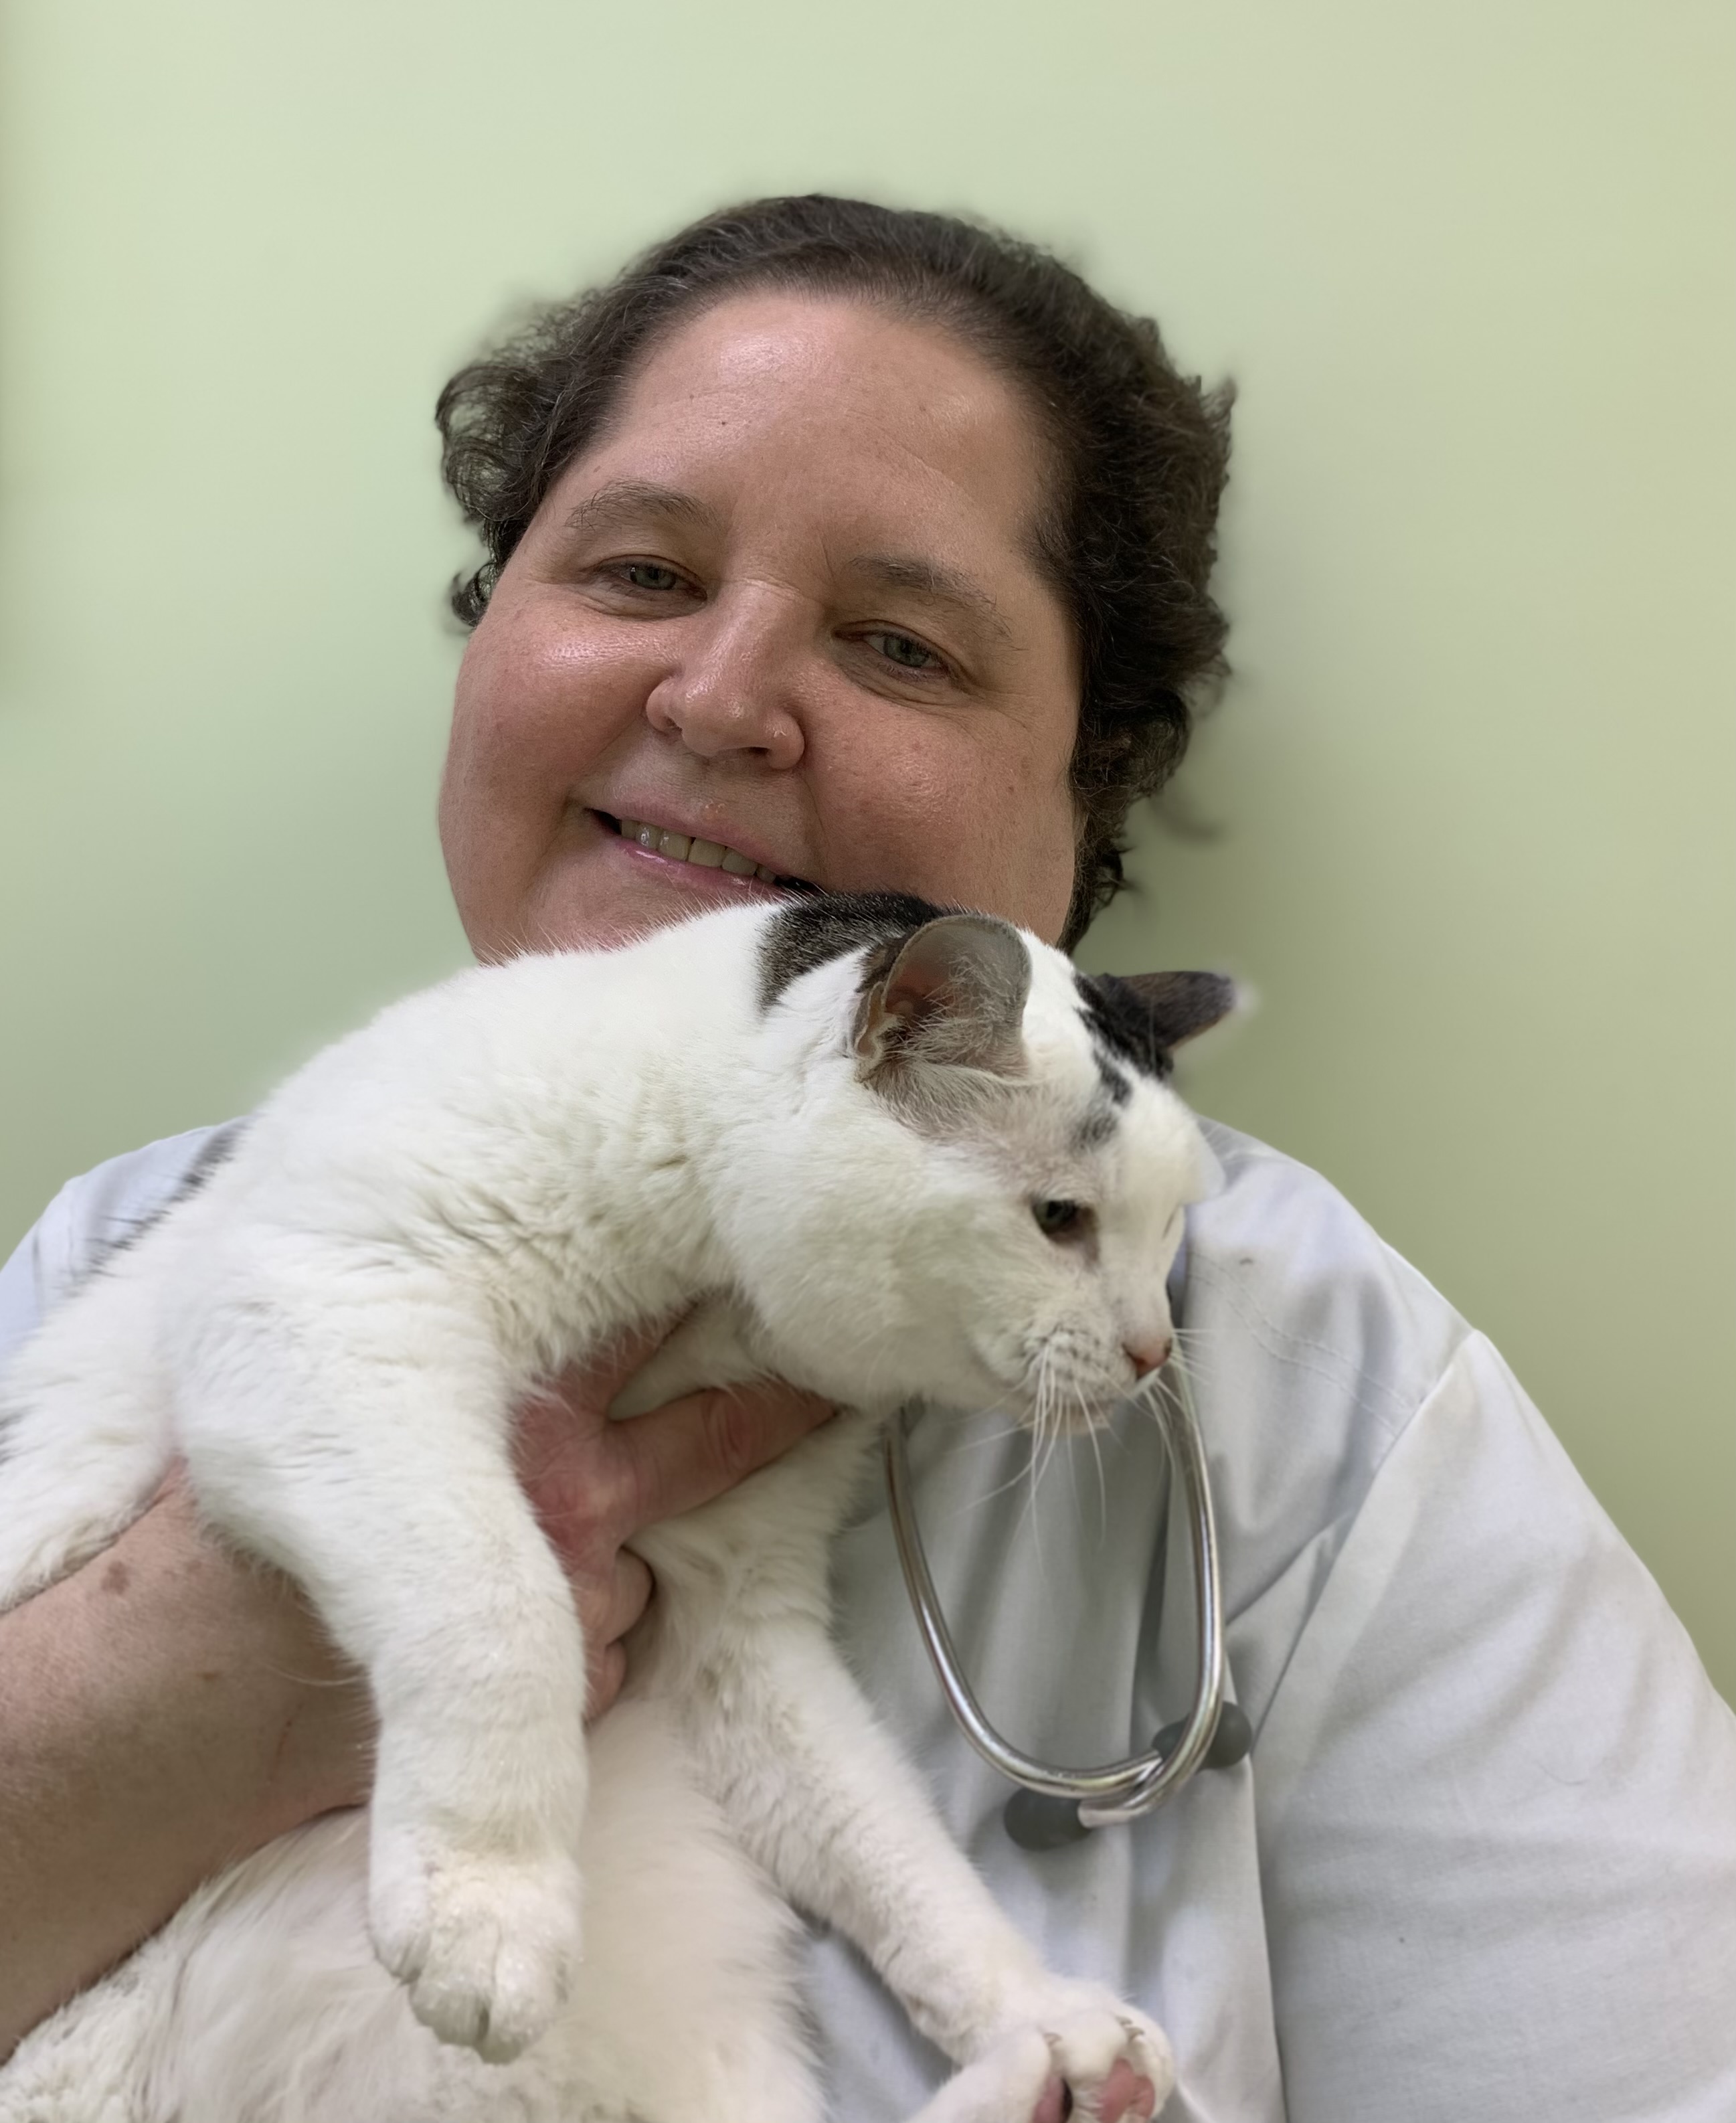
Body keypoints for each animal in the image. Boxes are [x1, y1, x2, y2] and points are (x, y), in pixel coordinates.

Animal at [0, 891, 1231, 2123]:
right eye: (1058, 1217)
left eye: (1170, 1224)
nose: (1149, 1350)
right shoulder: (318, 1310)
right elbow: (499, 1603)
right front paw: (487, 1898)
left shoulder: (738, 1622)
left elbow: (889, 1847)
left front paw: (1036, 2006)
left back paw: (1032, 2070)